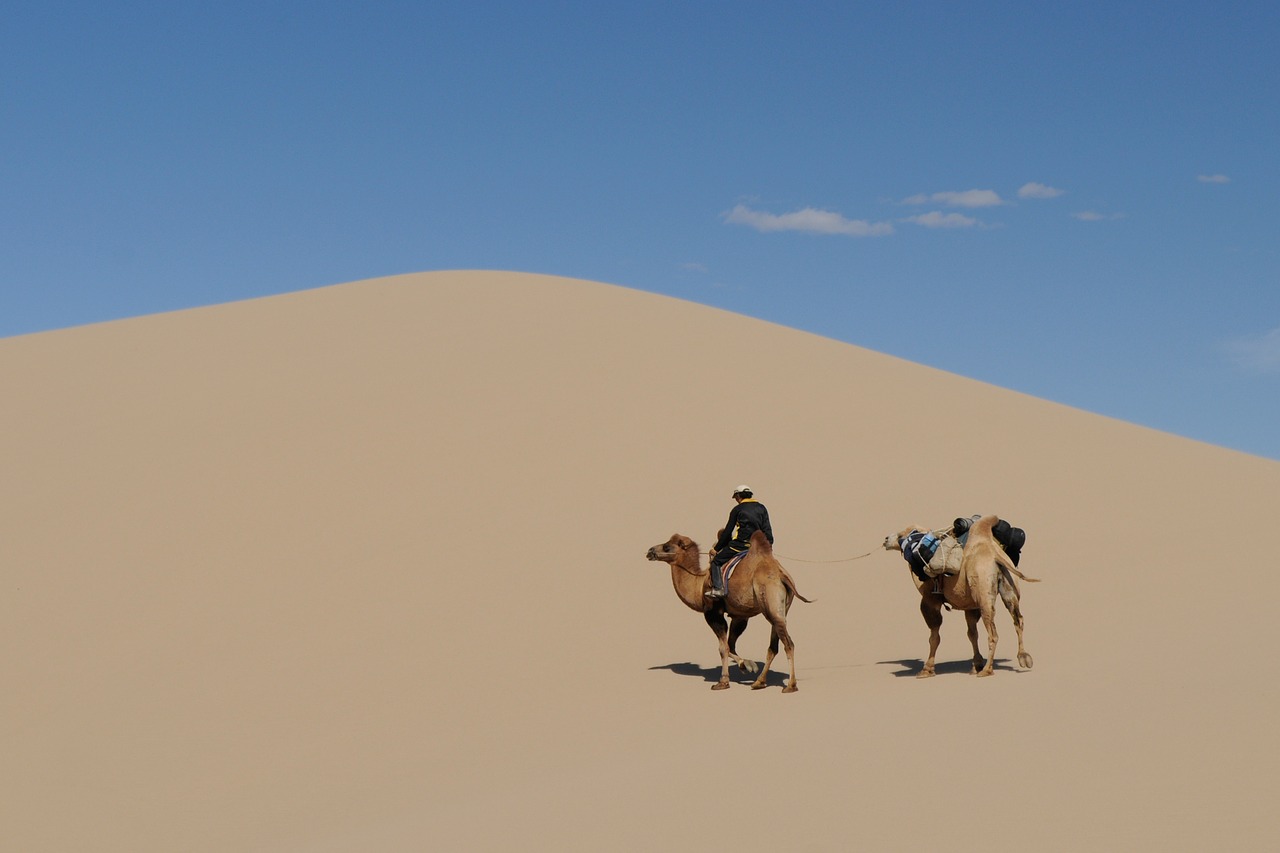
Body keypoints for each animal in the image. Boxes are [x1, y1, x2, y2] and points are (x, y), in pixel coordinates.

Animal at [645, 532, 814, 691]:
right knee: (773, 646)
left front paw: (723, 681)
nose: (650, 551)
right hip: (780, 609)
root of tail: (782, 576)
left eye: (667, 547)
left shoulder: (712, 613)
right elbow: (731, 644)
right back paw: (759, 682)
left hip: (770, 602)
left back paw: (790, 686)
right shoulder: (740, 615)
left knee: (788, 643)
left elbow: (723, 647)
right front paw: (747, 665)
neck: (699, 584)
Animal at [880, 512, 1039, 676]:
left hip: (983, 590)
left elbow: (934, 636)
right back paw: (1023, 658)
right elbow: (972, 633)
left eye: (901, 535)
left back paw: (987, 670)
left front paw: (927, 669)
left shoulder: (930, 599)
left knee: (993, 632)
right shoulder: (970, 606)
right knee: (1018, 619)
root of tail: (995, 555)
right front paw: (976, 665)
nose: (886, 539)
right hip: (1009, 585)